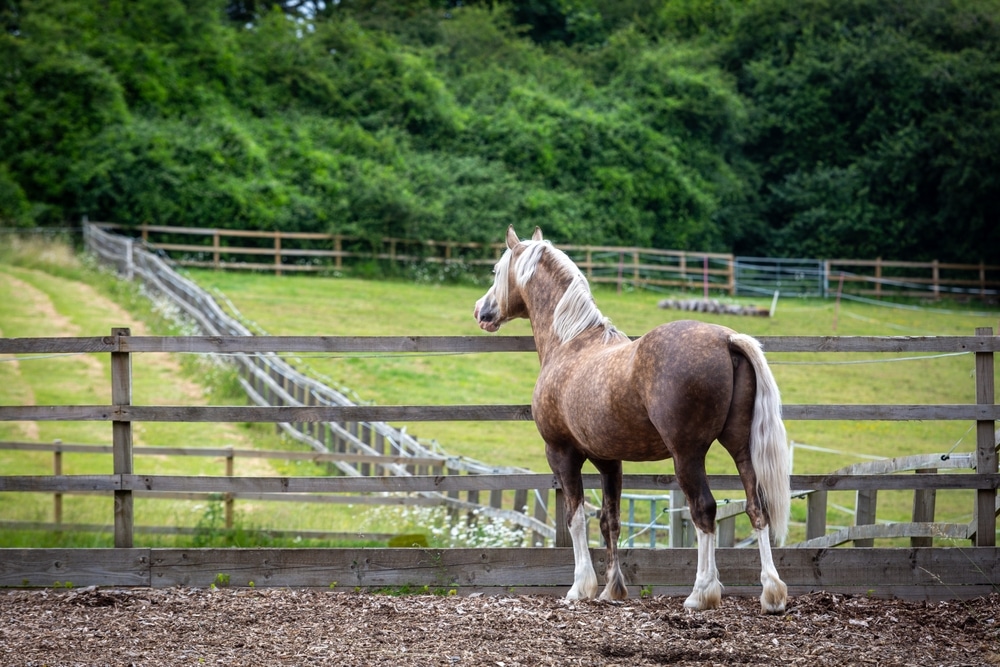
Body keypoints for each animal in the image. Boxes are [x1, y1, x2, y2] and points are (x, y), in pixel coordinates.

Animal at [472, 227, 792, 612]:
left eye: (496, 270)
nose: (481, 310)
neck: (570, 342)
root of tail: (726, 338)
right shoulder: (610, 462)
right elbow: (609, 520)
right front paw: (613, 589)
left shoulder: (562, 453)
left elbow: (575, 517)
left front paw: (580, 587)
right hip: (740, 447)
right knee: (756, 507)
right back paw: (771, 592)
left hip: (687, 455)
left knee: (704, 510)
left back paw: (702, 593)